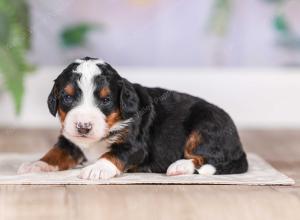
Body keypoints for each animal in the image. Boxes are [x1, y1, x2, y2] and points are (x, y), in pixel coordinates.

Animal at [18, 56, 248, 179]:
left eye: (106, 100)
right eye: (67, 97)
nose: (83, 126)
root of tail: (239, 145)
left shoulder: (135, 145)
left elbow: (113, 154)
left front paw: (96, 169)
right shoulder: (69, 139)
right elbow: (56, 152)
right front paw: (37, 165)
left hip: (205, 127)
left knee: (206, 158)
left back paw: (179, 166)